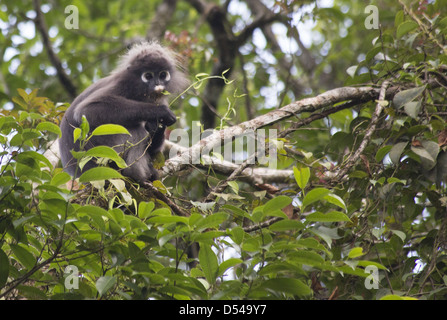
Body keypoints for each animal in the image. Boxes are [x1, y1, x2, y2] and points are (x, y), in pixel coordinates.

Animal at [59, 41, 189, 184]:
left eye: (162, 75)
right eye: (148, 76)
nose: (157, 83)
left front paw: (156, 125)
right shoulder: (122, 86)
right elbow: (86, 110)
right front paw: (161, 112)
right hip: (98, 151)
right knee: (136, 131)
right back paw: (136, 175)